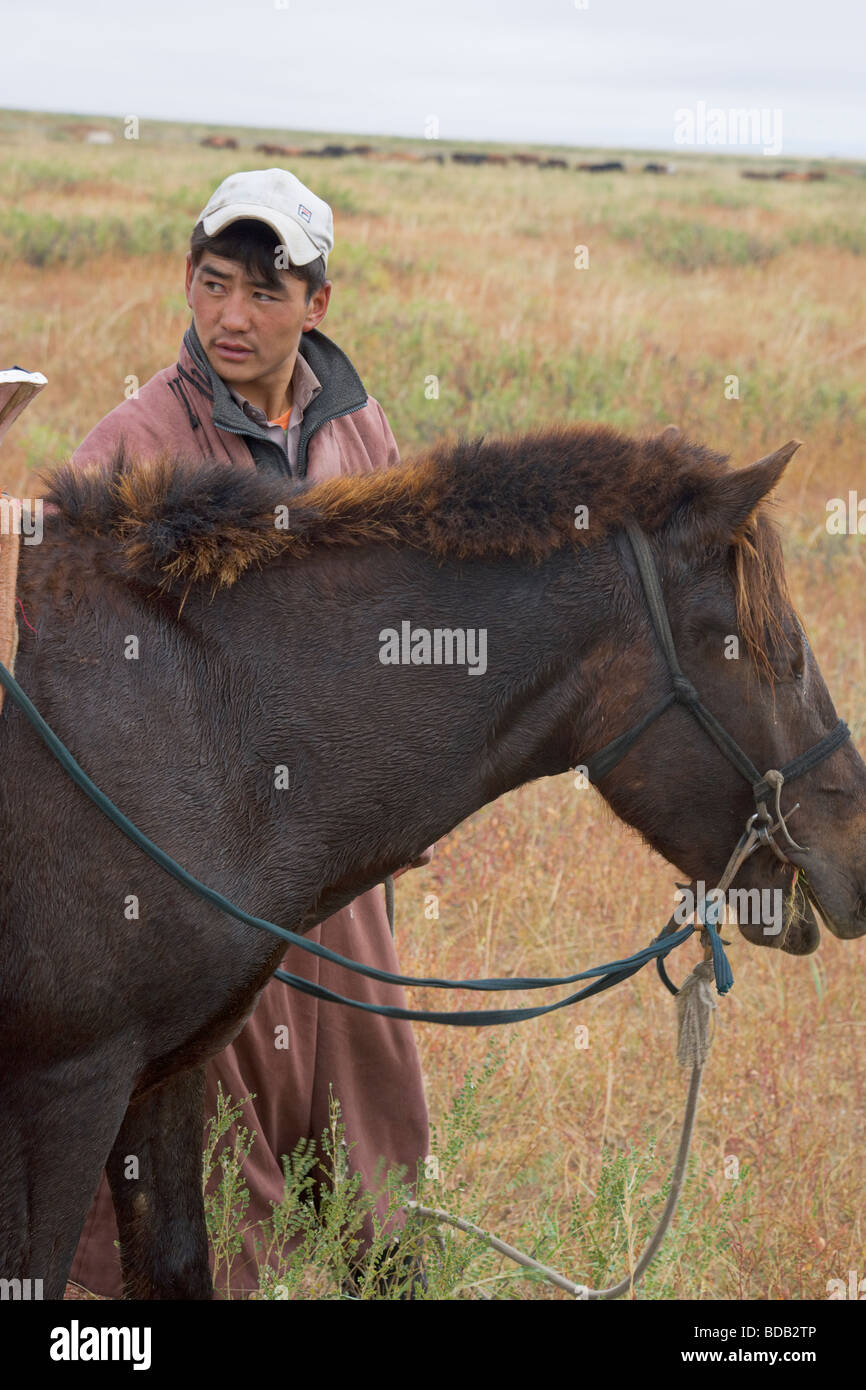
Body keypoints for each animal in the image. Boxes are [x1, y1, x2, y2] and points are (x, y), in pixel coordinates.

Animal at [1, 422, 864, 1299]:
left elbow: (177, 1260)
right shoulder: (64, 1088)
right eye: (780, 652)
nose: (856, 858)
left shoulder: (166, 1073)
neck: (186, 716)